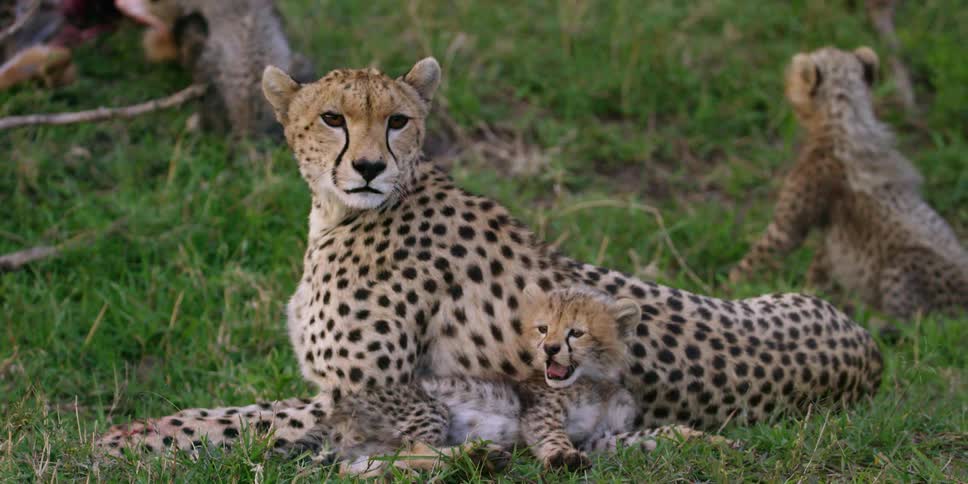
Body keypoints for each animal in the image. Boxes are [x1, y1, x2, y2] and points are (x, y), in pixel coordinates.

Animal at [95, 57, 884, 468]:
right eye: (332, 119)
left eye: (398, 120)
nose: (370, 167)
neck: (352, 212)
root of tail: (871, 356)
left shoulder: (370, 391)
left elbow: (252, 416)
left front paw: (135, 440)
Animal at [729, 46, 968, 321]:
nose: (787, 82)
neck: (845, 116)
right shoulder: (832, 232)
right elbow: (821, 264)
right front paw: (811, 289)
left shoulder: (790, 224)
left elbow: (765, 250)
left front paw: (730, 282)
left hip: (903, 265)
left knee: (914, 320)